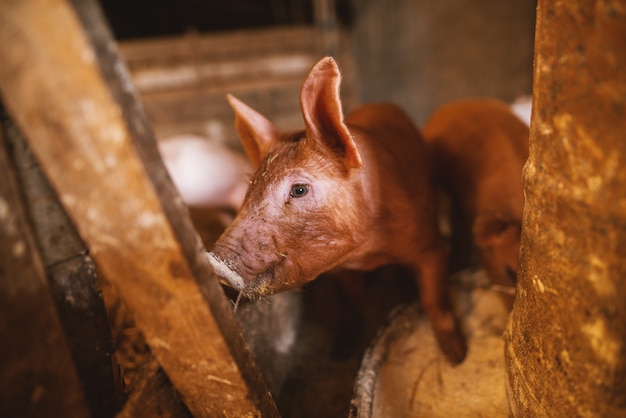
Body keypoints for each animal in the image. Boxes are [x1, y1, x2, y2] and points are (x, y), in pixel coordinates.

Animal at [205, 57, 464, 364]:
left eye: (299, 190)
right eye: (250, 187)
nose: (215, 262)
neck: (367, 254)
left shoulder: (430, 244)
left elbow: (434, 300)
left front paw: (456, 356)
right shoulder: (342, 270)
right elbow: (351, 301)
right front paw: (339, 352)